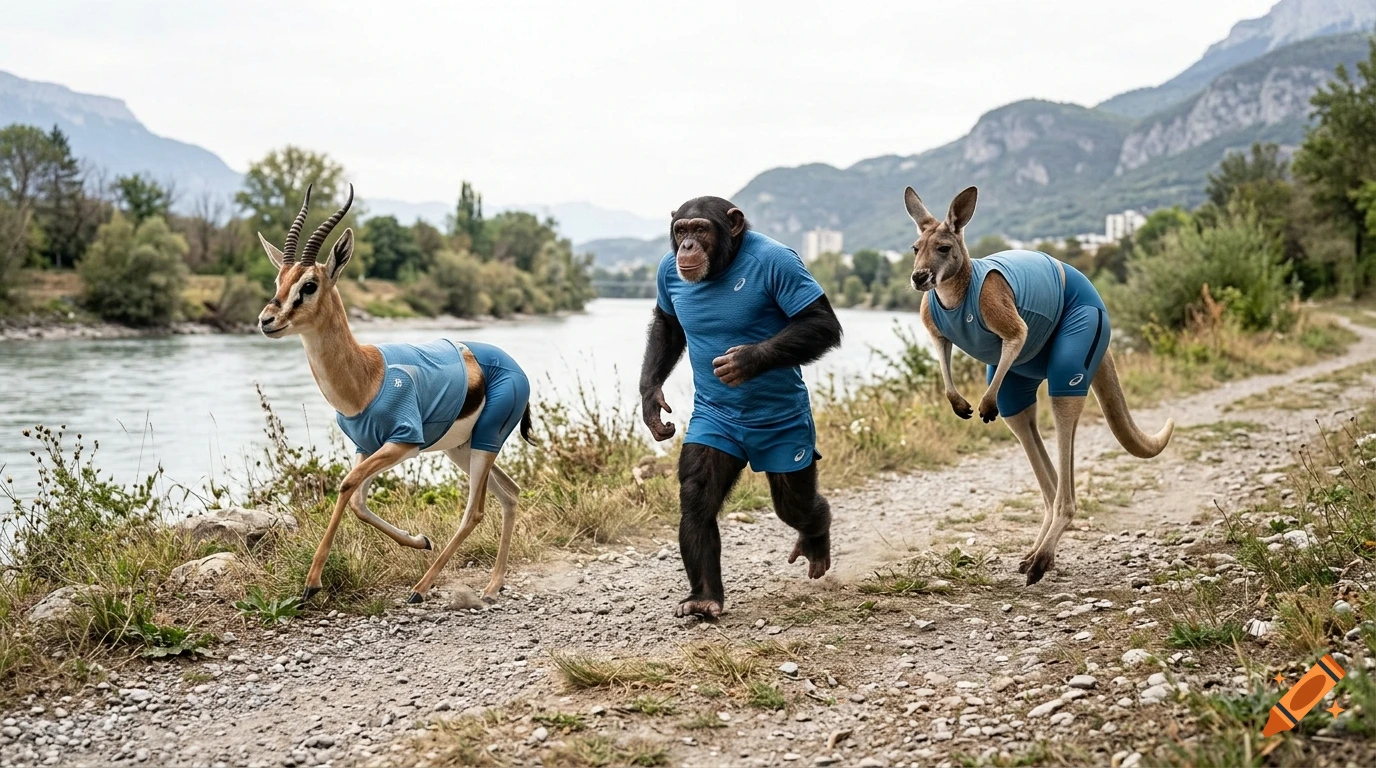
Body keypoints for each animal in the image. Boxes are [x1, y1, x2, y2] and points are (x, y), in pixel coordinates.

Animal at [256, 183, 533, 605]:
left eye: (309, 285)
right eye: (278, 281)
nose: (266, 320)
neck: (365, 377)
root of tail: (518, 369)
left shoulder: (403, 443)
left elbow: (346, 485)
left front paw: (311, 583)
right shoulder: (367, 446)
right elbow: (357, 499)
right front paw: (421, 540)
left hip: (485, 442)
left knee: (475, 511)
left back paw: (421, 588)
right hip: (462, 448)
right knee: (511, 494)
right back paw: (492, 585)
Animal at [638, 196, 843, 619]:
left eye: (701, 229)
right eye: (682, 229)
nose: (687, 245)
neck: (724, 266)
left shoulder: (785, 265)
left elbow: (819, 322)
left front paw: (745, 361)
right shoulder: (667, 272)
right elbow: (668, 323)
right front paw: (651, 401)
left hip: (790, 448)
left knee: (796, 503)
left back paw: (818, 535)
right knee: (703, 492)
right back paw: (704, 595)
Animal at [905, 185, 1174, 585]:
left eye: (943, 247)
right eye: (915, 247)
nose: (919, 278)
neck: (955, 293)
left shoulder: (1003, 312)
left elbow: (1016, 336)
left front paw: (981, 404)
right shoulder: (934, 325)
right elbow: (944, 359)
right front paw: (960, 404)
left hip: (1081, 338)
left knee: (1062, 418)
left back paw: (1041, 560)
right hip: (1023, 382)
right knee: (1027, 432)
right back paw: (1033, 552)